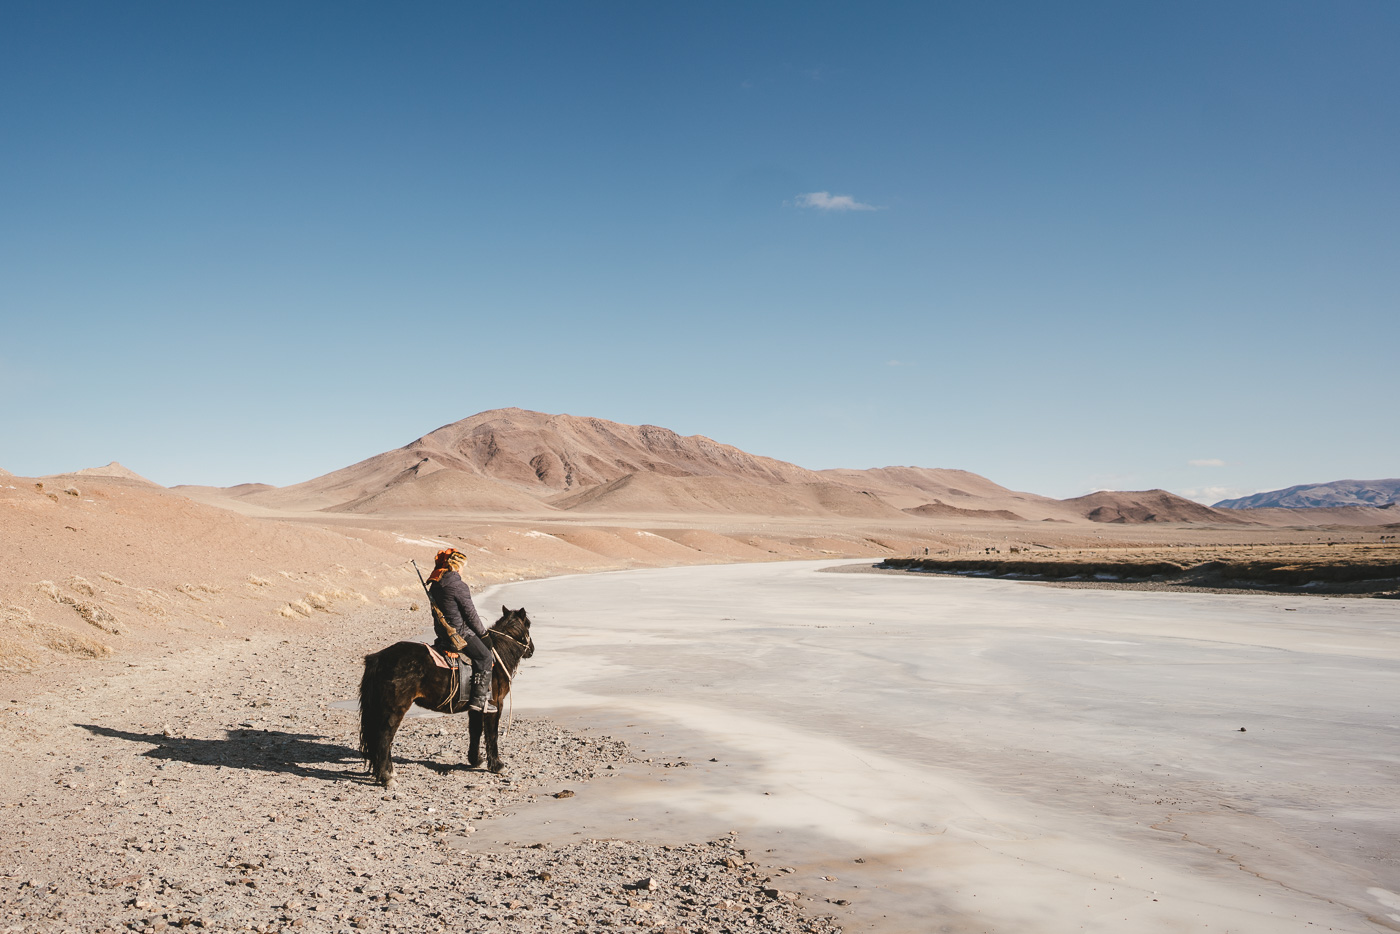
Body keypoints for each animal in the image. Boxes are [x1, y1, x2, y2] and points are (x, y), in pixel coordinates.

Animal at [358, 607, 532, 789]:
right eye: (528, 625)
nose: (532, 650)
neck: (497, 658)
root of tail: (379, 657)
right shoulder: (495, 705)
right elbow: (492, 735)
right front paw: (498, 765)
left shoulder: (475, 708)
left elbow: (475, 731)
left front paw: (475, 760)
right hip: (395, 709)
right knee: (384, 738)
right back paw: (387, 776)